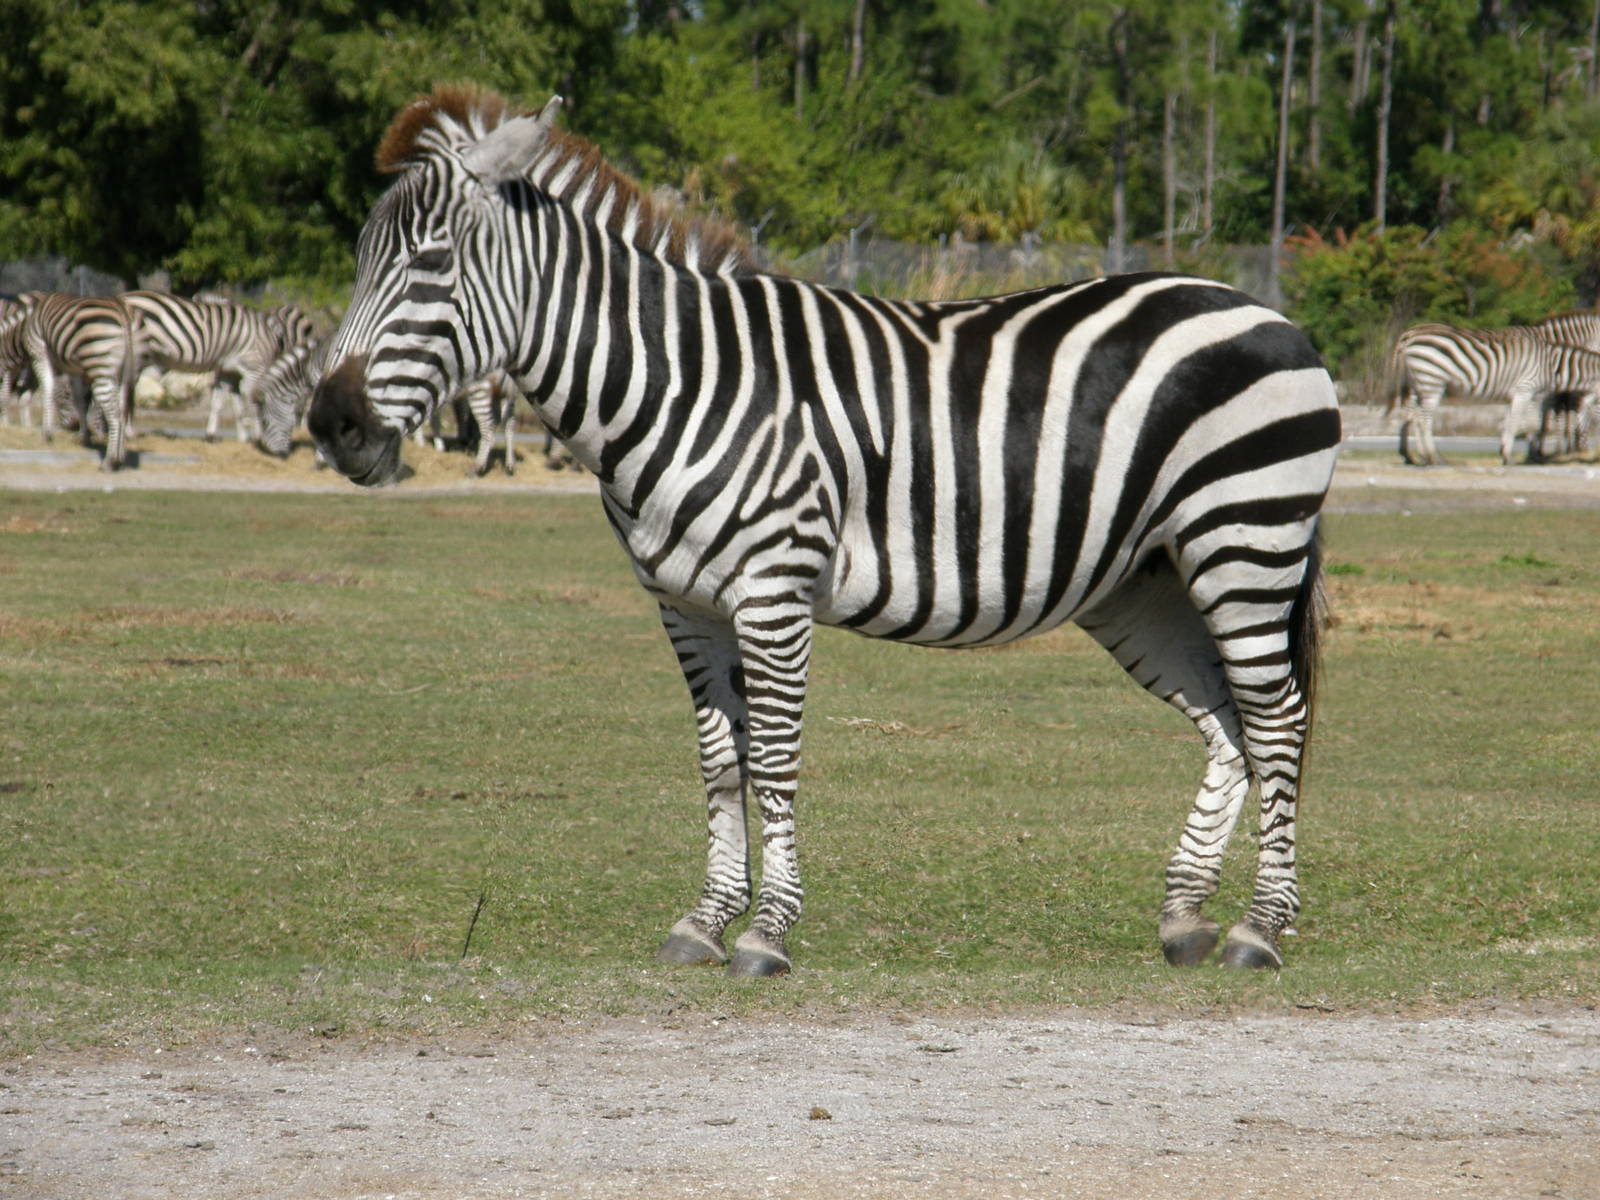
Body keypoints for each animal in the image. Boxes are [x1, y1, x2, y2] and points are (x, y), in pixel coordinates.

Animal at [13, 292, 137, 469]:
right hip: (123, 371)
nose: (71, 425)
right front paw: (83, 436)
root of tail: (121, 311)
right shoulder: (74, 369)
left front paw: (47, 433)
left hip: (100, 365)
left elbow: (48, 388)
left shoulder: (40, 352)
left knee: (115, 416)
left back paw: (109, 461)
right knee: (123, 407)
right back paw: (120, 456)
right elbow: (79, 400)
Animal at [121, 291, 316, 443]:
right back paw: (129, 432)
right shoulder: (253, 369)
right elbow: (252, 401)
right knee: (127, 392)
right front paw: (259, 437)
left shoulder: (228, 371)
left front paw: (220, 436)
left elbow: (224, 403)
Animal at [308, 86, 1342, 976]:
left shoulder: (773, 591)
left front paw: (766, 933)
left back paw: (1260, 928)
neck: (678, 382)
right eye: (359, 262)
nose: (332, 424)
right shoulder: (685, 606)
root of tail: (1266, 309)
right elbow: (718, 763)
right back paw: (1186, 918)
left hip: (1245, 540)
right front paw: (705, 921)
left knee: (1279, 719)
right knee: (1229, 726)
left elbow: (772, 760)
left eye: (432, 262)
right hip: (1146, 580)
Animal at [1392, 322, 1600, 465]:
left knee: (1411, 416)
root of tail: (1409, 335)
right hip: (1432, 382)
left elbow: (1510, 422)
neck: (1551, 365)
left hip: (1418, 385)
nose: (1593, 455)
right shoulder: (1525, 390)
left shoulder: (1517, 396)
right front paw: (1514, 457)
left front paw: (1505, 452)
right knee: (1423, 419)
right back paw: (1433, 457)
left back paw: (1419, 456)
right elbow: (1524, 423)